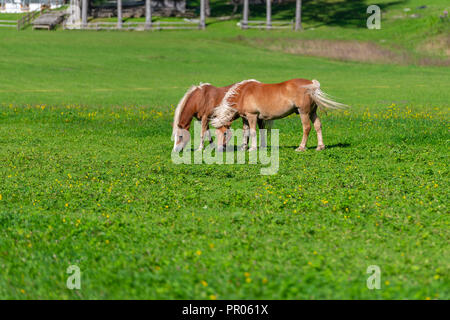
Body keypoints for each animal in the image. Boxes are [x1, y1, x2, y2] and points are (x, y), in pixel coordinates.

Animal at [211, 78, 348, 151]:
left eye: (225, 133)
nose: (219, 149)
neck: (243, 93)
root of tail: (312, 84)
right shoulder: (247, 118)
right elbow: (248, 132)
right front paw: (246, 147)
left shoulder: (252, 116)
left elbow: (253, 132)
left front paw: (252, 148)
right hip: (312, 112)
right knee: (318, 126)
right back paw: (320, 146)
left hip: (304, 112)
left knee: (307, 128)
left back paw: (301, 147)